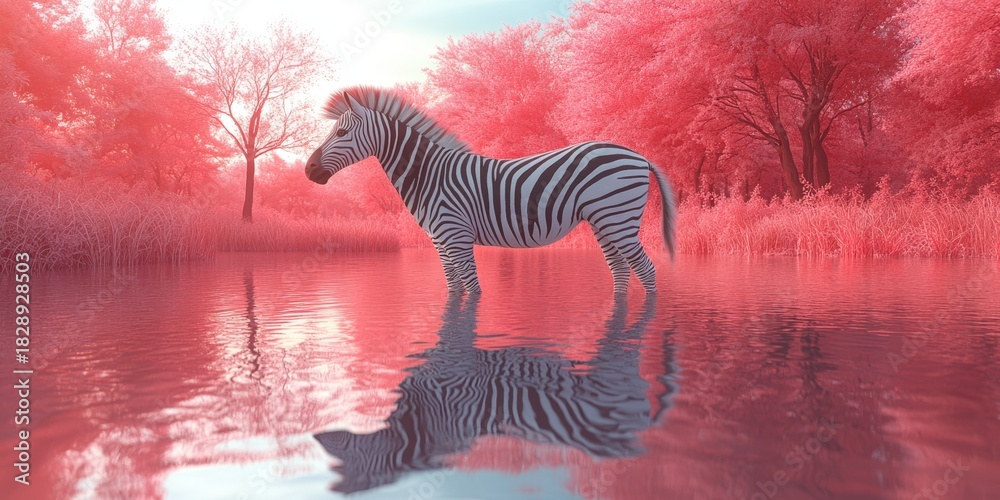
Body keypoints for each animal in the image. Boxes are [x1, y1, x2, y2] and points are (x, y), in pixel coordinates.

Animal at [305, 86, 678, 295]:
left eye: (341, 133)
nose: (308, 170)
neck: (429, 174)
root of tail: (638, 155)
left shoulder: (455, 236)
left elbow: (473, 290)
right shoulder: (440, 242)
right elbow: (455, 292)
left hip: (618, 218)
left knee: (646, 271)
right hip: (604, 222)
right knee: (621, 273)